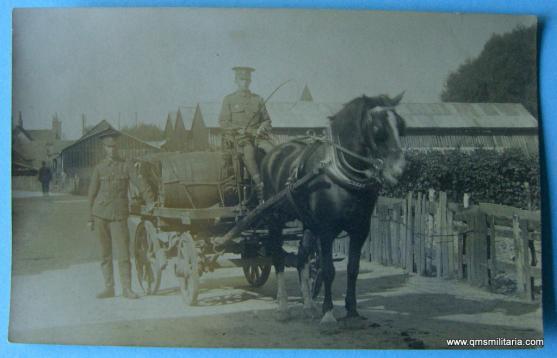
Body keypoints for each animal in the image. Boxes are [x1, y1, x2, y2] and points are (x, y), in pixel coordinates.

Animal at [258, 93, 406, 324]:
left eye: (401, 125)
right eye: (378, 130)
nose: (399, 170)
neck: (340, 175)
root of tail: (272, 153)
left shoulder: (360, 230)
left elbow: (352, 269)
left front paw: (352, 311)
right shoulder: (326, 230)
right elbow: (328, 270)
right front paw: (328, 313)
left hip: (307, 222)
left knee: (302, 258)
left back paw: (309, 305)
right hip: (275, 218)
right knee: (278, 257)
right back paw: (283, 307)